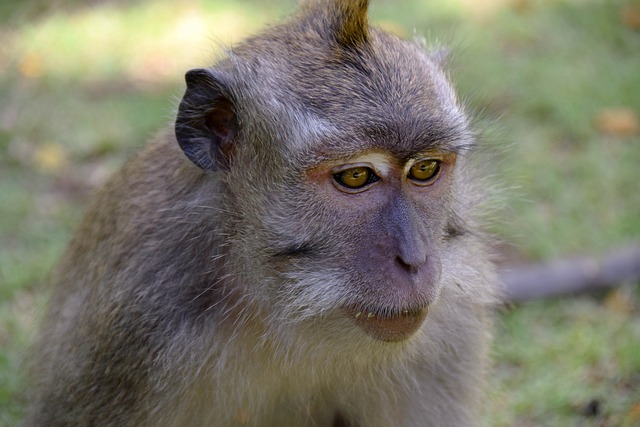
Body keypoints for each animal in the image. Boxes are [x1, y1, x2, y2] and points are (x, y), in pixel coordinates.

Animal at [23, 0, 496, 427]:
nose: (414, 260)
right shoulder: (137, 319)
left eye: (425, 169)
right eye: (357, 176)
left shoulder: (449, 324)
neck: (276, 305)